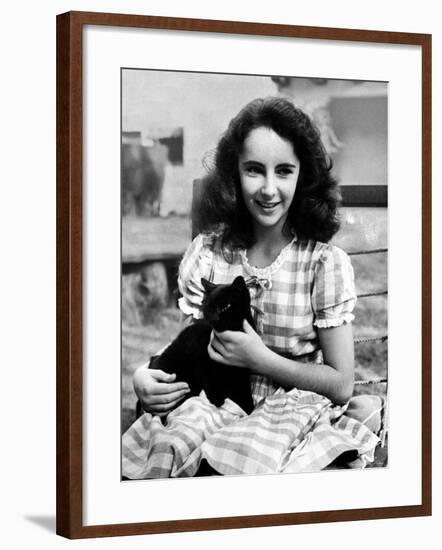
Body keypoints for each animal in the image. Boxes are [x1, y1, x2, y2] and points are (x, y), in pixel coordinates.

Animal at [150, 278, 256, 416]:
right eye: (209, 308)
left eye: (226, 306)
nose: (215, 318)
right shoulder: (204, 363)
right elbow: (212, 378)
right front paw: (217, 398)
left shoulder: (242, 370)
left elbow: (244, 390)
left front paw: (249, 407)